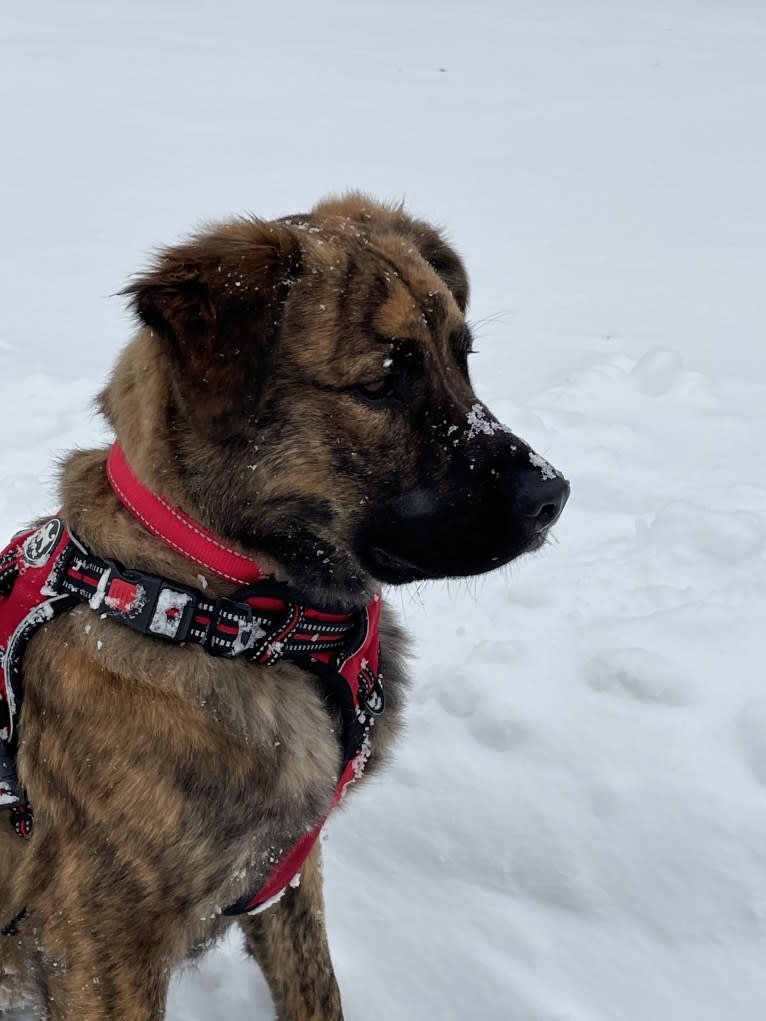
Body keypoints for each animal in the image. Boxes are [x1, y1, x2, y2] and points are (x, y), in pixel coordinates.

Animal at [0, 195, 571, 1016]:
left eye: (461, 357)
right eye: (380, 385)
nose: (554, 495)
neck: (226, 612)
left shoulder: (288, 872)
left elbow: (315, 991)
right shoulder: (95, 937)